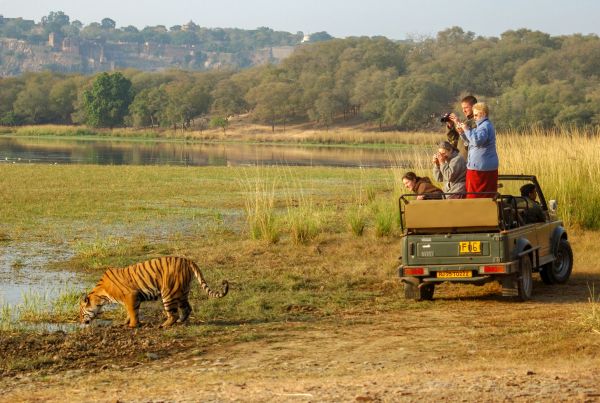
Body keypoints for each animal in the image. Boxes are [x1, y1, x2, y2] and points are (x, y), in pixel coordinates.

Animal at [79, 258, 230, 330]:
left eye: (81, 313)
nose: (80, 321)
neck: (101, 296)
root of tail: (188, 260)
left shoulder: (131, 296)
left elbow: (132, 312)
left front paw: (132, 326)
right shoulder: (133, 299)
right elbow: (130, 312)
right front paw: (126, 323)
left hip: (168, 293)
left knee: (173, 314)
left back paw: (163, 325)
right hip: (182, 292)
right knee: (187, 308)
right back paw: (180, 322)